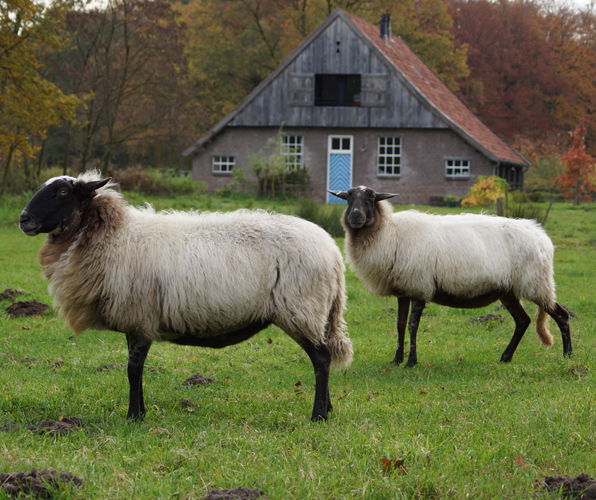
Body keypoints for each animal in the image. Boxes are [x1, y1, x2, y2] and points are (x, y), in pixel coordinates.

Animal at [19, 173, 354, 422]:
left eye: (63, 192)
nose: (24, 219)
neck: (112, 235)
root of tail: (332, 251)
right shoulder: (136, 321)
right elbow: (136, 368)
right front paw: (141, 412)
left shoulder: (139, 316)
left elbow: (132, 369)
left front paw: (132, 417)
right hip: (315, 312)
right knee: (324, 358)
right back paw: (329, 408)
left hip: (301, 309)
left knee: (322, 358)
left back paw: (318, 415)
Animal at [330, 186, 572, 366]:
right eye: (348, 197)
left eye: (371, 197)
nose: (355, 216)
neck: (389, 233)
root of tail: (542, 236)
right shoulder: (404, 289)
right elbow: (399, 324)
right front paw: (396, 360)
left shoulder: (419, 286)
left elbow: (412, 325)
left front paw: (411, 362)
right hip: (509, 290)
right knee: (523, 320)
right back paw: (505, 357)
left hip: (535, 283)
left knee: (561, 315)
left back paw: (568, 355)